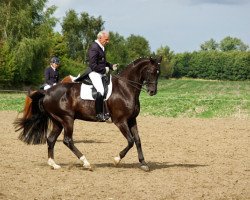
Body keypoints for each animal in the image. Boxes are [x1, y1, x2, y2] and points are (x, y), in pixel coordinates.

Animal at [14, 56, 162, 172]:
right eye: (150, 71)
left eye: (158, 73)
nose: (152, 91)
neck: (125, 88)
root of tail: (47, 92)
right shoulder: (120, 121)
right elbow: (130, 141)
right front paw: (116, 159)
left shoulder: (132, 120)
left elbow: (137, 140)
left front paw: (143, 163)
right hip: (67, 119)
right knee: (68, 140)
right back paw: (86, 162)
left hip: (58, 121)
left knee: (51, 140)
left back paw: (54, 164)